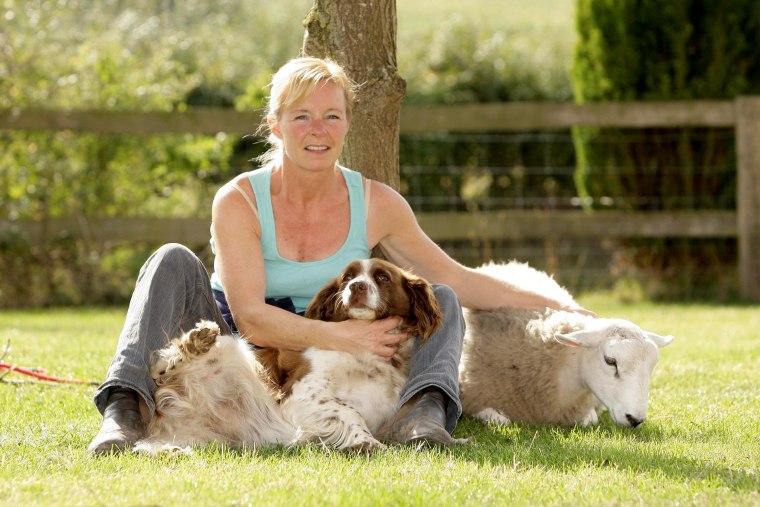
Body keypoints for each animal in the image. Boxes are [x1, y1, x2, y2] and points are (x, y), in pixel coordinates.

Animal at [134, 260, 442, 454]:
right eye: (347, 277)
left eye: (382, 277)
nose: (356, 287)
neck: (365, 354)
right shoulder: (301, 391)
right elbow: (348, 410)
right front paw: (365, 442)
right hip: (231, 348)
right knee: (162, 365)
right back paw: (197, 343)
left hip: (205, 437)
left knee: (150, 446)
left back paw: (172, 451)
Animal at [460, 262, 672, 428]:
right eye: (610, 361)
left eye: (652, 367)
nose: (635, 420)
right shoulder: (472, 396)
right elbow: (500, 420)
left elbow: (590, 420)